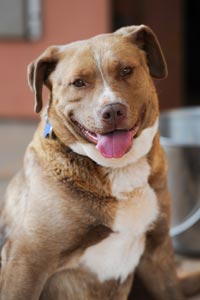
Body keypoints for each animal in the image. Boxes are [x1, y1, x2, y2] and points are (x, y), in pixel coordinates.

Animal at [0, 24, 198, 298]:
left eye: (126, 70)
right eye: (78, 83)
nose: (112, 110)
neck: (119, 169)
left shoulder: (158, 253)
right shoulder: (26, 261)